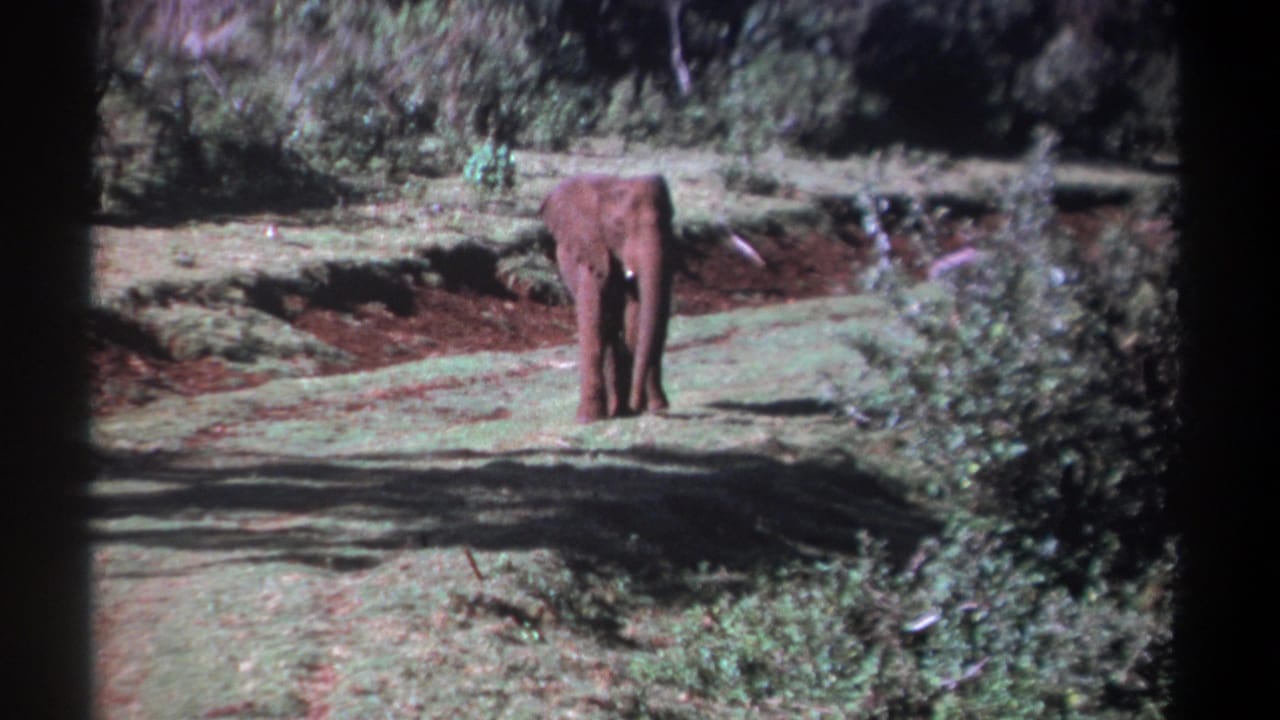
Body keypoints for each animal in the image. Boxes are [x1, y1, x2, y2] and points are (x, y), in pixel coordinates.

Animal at [539, 174, 675, 423]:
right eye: (618, 227)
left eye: (670, 221)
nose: (639, 404)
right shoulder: (591, 249)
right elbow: (594, 318)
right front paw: (587, 420)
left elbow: (636, 319)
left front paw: (651, 407)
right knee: (608, 328)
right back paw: (617, 410)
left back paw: (622, 410)